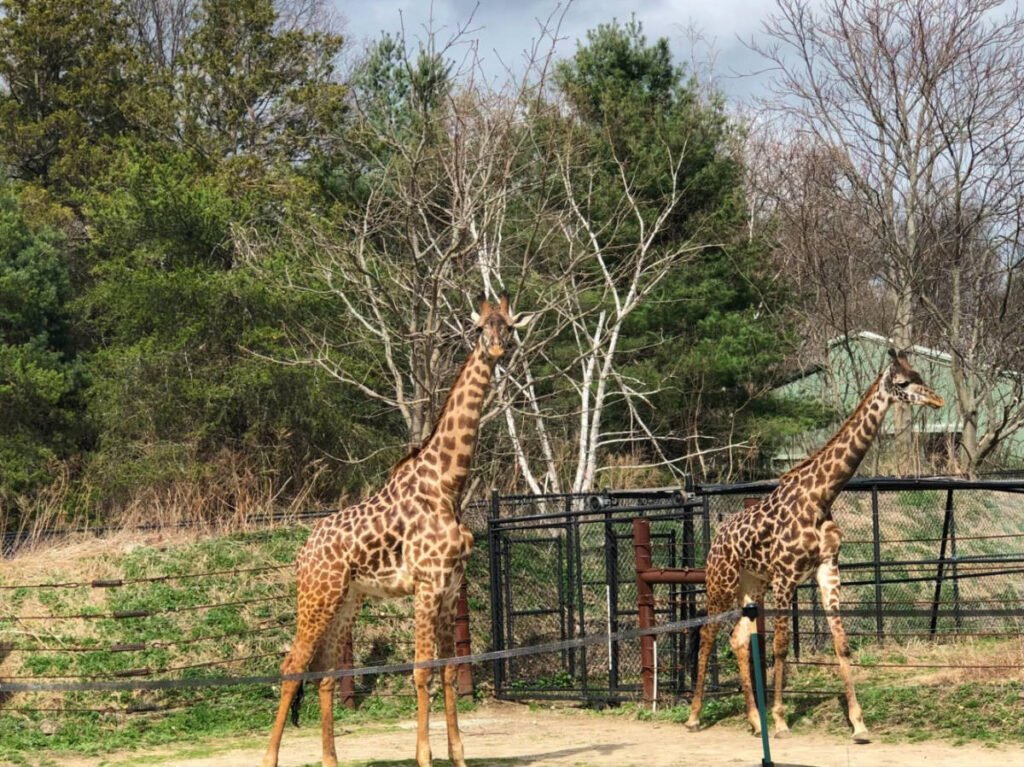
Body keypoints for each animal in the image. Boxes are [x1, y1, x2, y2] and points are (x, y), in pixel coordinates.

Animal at [263, 294, 535, 767]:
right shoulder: (427, 584)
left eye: (509, 327)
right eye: (479, 328)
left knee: (327, 673)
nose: (497, 350)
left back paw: (331, 760)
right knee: (291, 666)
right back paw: (270, 759)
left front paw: (458, 757)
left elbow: (448, 670)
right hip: (317, 596)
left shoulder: (450, 587)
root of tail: (303, 551)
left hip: (347, 601)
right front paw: (425, 756)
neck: (448, 486)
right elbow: (421, 669)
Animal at [685, 349, 944, 742]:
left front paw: (859, 724)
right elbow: (780, 647)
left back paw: (754, 721)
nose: (937, 399)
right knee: (707, 632)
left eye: (920, 375)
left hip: (752, 584)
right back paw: (695, 716)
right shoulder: (785, 576)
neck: (821, 496)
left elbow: (841, 642)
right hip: (722, 581)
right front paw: (780, 720)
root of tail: (716, 536)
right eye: (903, 382)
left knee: (738, 638)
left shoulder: (827, 569)